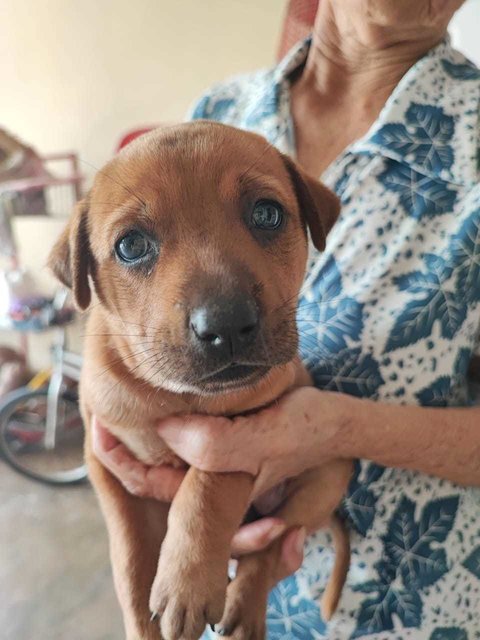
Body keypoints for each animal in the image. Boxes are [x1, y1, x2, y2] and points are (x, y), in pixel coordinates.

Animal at [49, 124, 352, 640]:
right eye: (131, 246)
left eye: (267, 214)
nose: (226, 326)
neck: (170, 396)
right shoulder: (105, 463)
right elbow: (131, 559)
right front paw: (143, 619)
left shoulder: (249, 431)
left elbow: (206, 489)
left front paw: (185, 583)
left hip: (324, 477)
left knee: (266, 551)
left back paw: (244, 612)